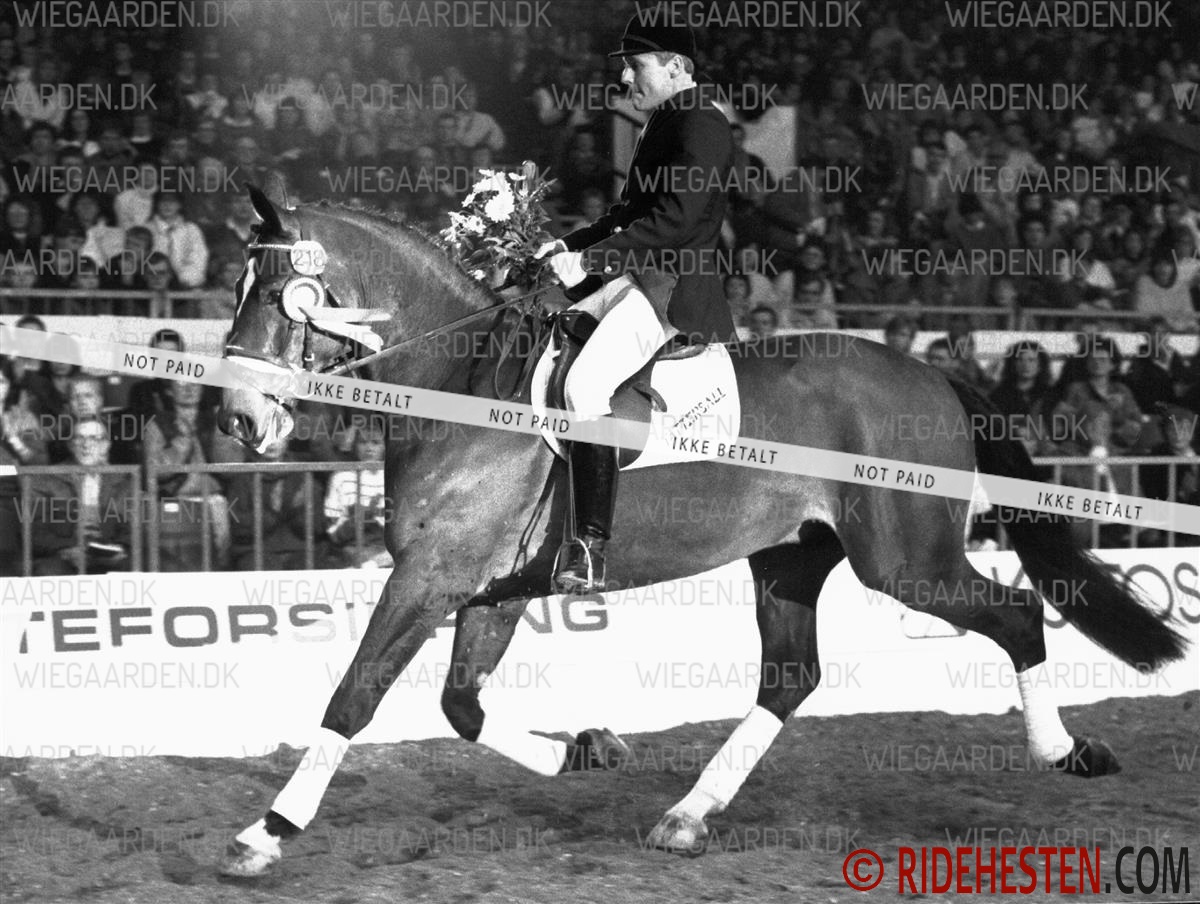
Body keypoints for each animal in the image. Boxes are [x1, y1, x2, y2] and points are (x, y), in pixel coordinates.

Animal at [216, 186, 1187, 876]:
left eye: (282, 294)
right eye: (237, 288)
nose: (236, 420)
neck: (462, 382)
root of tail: (930, 373)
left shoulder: (429, 577)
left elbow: (355, 697)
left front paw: (265, 835)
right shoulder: (490, 587)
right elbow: (461, 708)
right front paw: (586, 751)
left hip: (907, 560)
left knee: (1016, 617)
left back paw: (1065, 751)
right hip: (793, 557)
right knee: (790, 678)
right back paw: (685, 817)